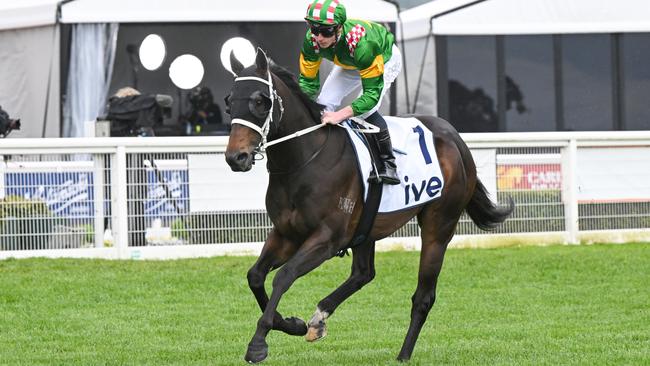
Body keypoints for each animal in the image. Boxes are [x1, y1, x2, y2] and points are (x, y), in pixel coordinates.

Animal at [223, 48, 512, 364]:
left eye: (259, 101)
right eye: (229, 102)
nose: (235, 157)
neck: (304, 160)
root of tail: (455, 137)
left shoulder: (326, 238)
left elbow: (284, 276)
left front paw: (259, 342)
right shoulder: (286, 233)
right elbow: (255, 276)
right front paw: (292, 324)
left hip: (439, 225)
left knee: (423, 296)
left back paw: (403, 354)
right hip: (368, 225)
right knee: (363, 273)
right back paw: (319, 319)